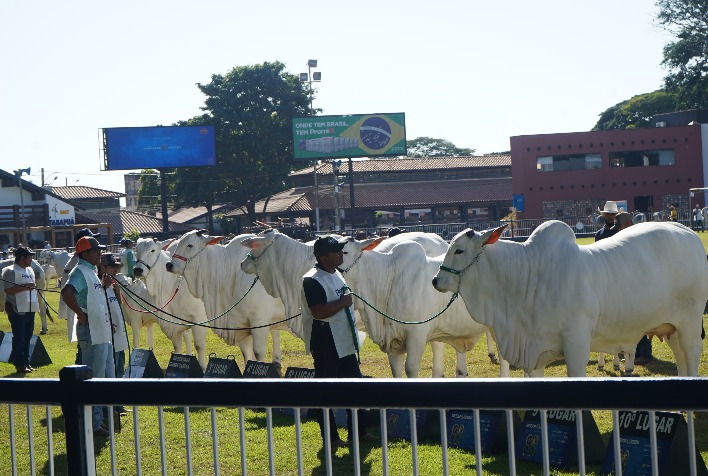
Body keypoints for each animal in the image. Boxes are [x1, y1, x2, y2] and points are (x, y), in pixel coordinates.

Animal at [133, 238, 209, 368]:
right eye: (136, 249)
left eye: (152, 250)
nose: (138, 270)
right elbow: (177, 347)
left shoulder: (199, 319)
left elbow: (199, 346)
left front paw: (203, 368)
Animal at [165, 229, 286, 366]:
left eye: (189, 245)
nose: (169, 265)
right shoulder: (241, 326)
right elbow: (247, 355)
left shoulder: (259, 321)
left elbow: (259, 353)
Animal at [432, 221, 708, 378]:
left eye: (459, 250)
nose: (436, 280)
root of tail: (688, 232)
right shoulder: (534, 353)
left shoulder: (576, 343)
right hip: (671, 328)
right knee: (680, 358)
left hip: (690, 322)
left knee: (691, 354)